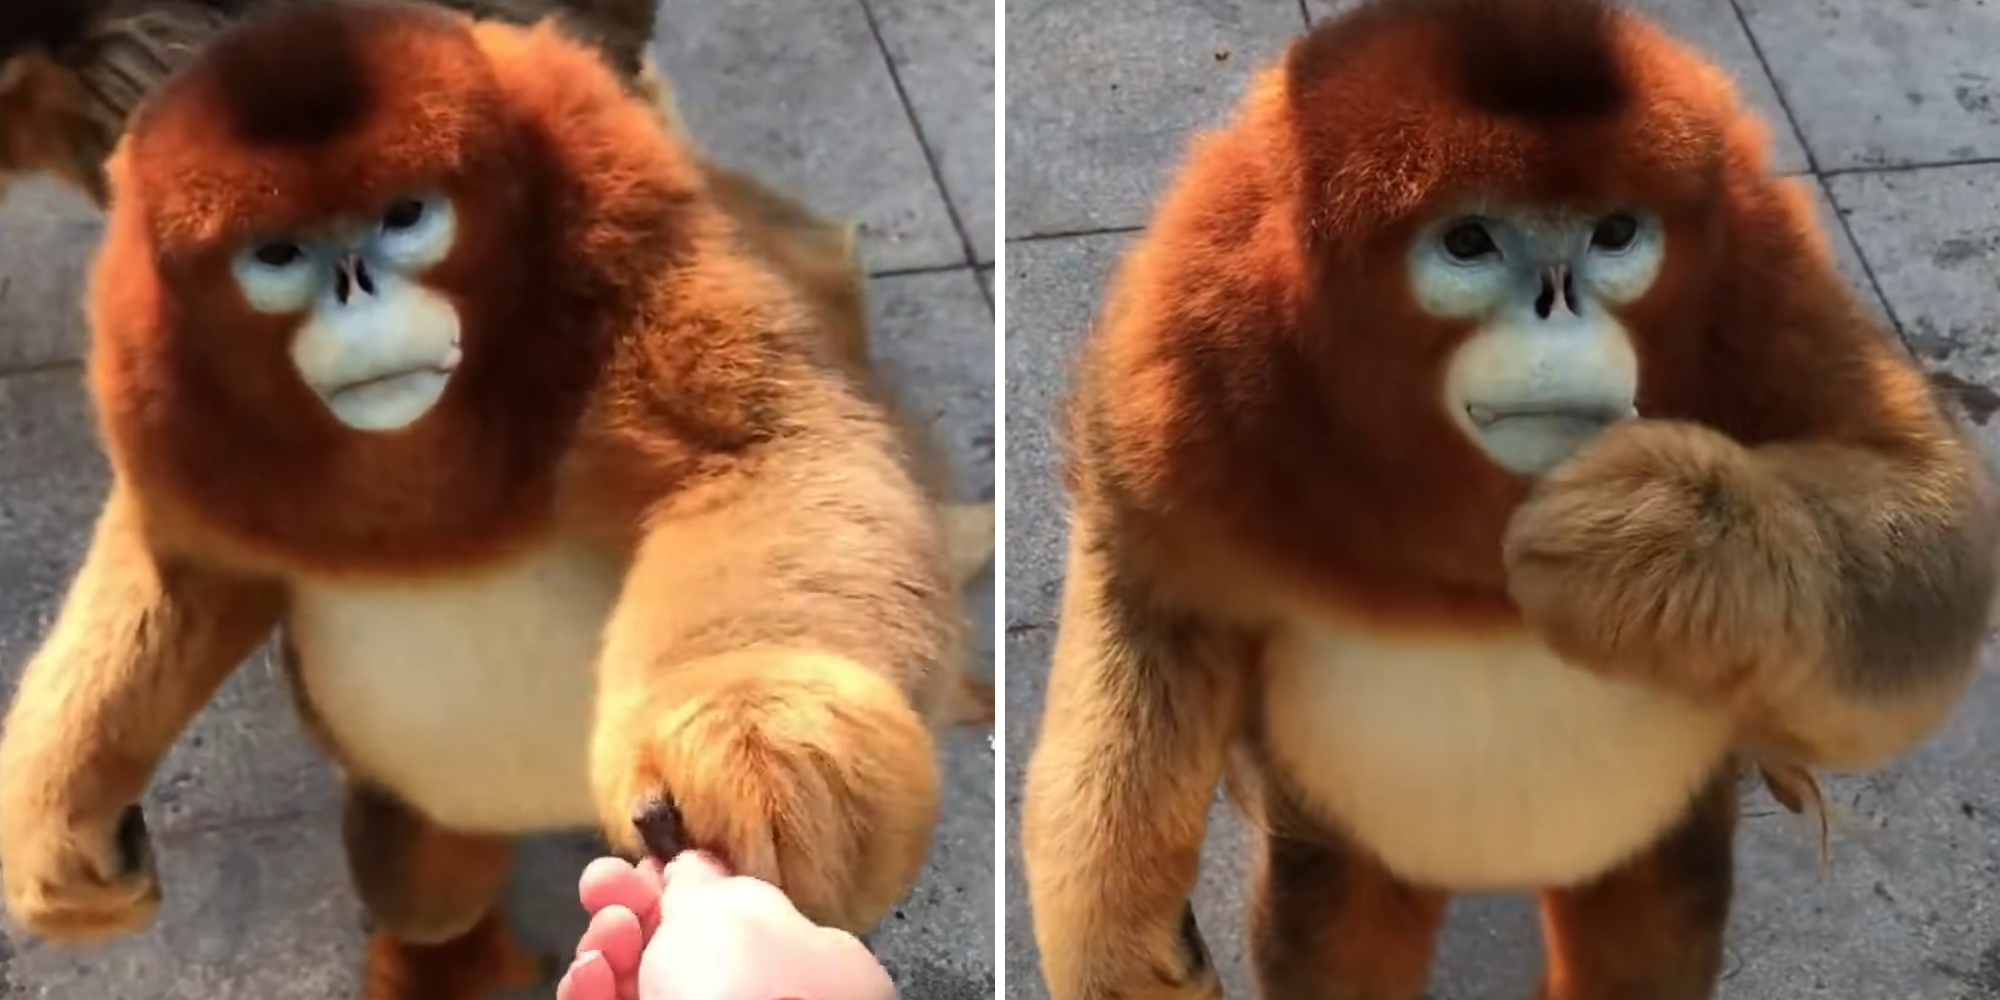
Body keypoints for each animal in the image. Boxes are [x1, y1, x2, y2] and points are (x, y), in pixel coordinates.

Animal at [1017, 2, 2000, 1000]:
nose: (1555, 307)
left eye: (1615, 234)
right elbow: (1145, 602)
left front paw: (1650, 542)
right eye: (1469, 244)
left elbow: (1931, 536)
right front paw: (1119, 950)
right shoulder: (1185, 349)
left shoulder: (1764, 276)